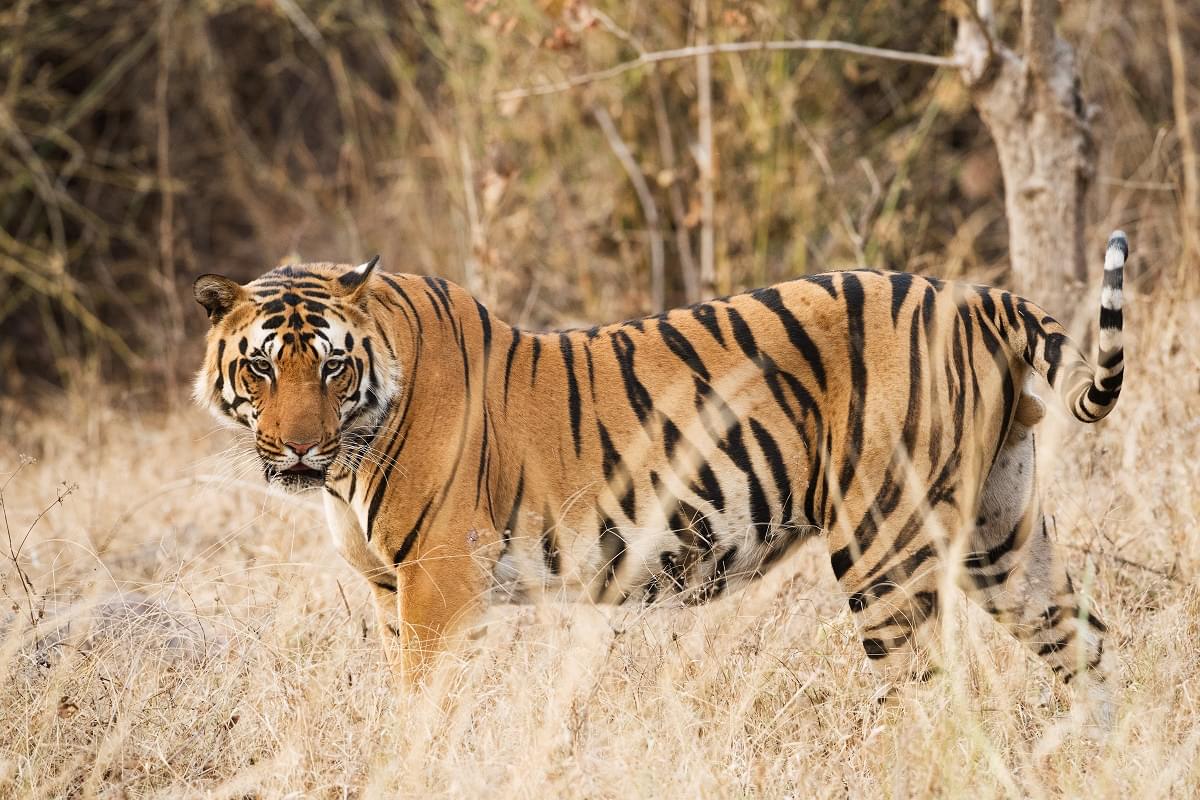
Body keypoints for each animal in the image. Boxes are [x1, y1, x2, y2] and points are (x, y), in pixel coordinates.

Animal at [194, 231, 1123, 719]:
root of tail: (973, 295)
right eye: (262, 370)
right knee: (1086, 642)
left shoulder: (439, 583)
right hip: (1002, 532)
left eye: (332, 368)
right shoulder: (392, 589)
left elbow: (425, 710)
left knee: (929, 699)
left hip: (884, 544)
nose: (299, 451)